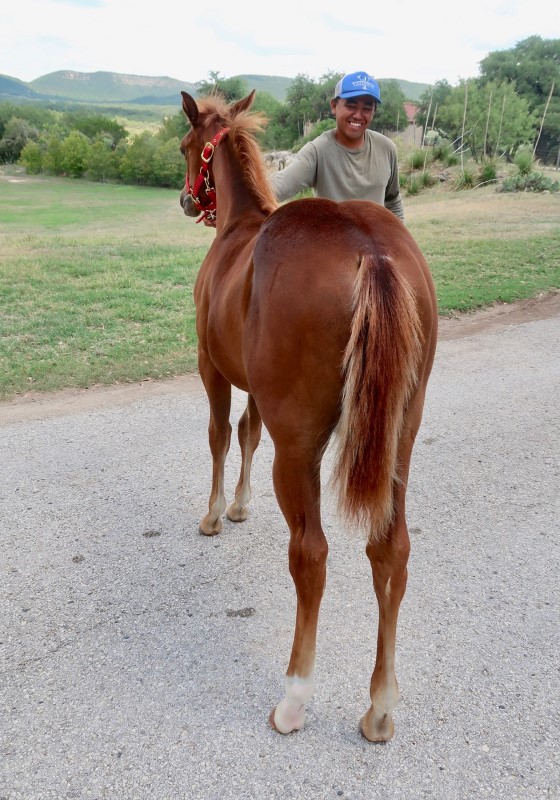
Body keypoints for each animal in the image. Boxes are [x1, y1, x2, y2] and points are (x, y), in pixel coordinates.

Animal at [179, 90, 438, 740]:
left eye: (186, 145)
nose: (188, 198)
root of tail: (369, 250)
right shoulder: (254, 389)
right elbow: (247, 433)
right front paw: (239, 506)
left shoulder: (212, 368)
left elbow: (220, 436)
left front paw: (215, 513)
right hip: (400, 439)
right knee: (390, 549)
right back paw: (380, 705)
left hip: (298, 449)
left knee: (311, 555)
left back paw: (295, 694)